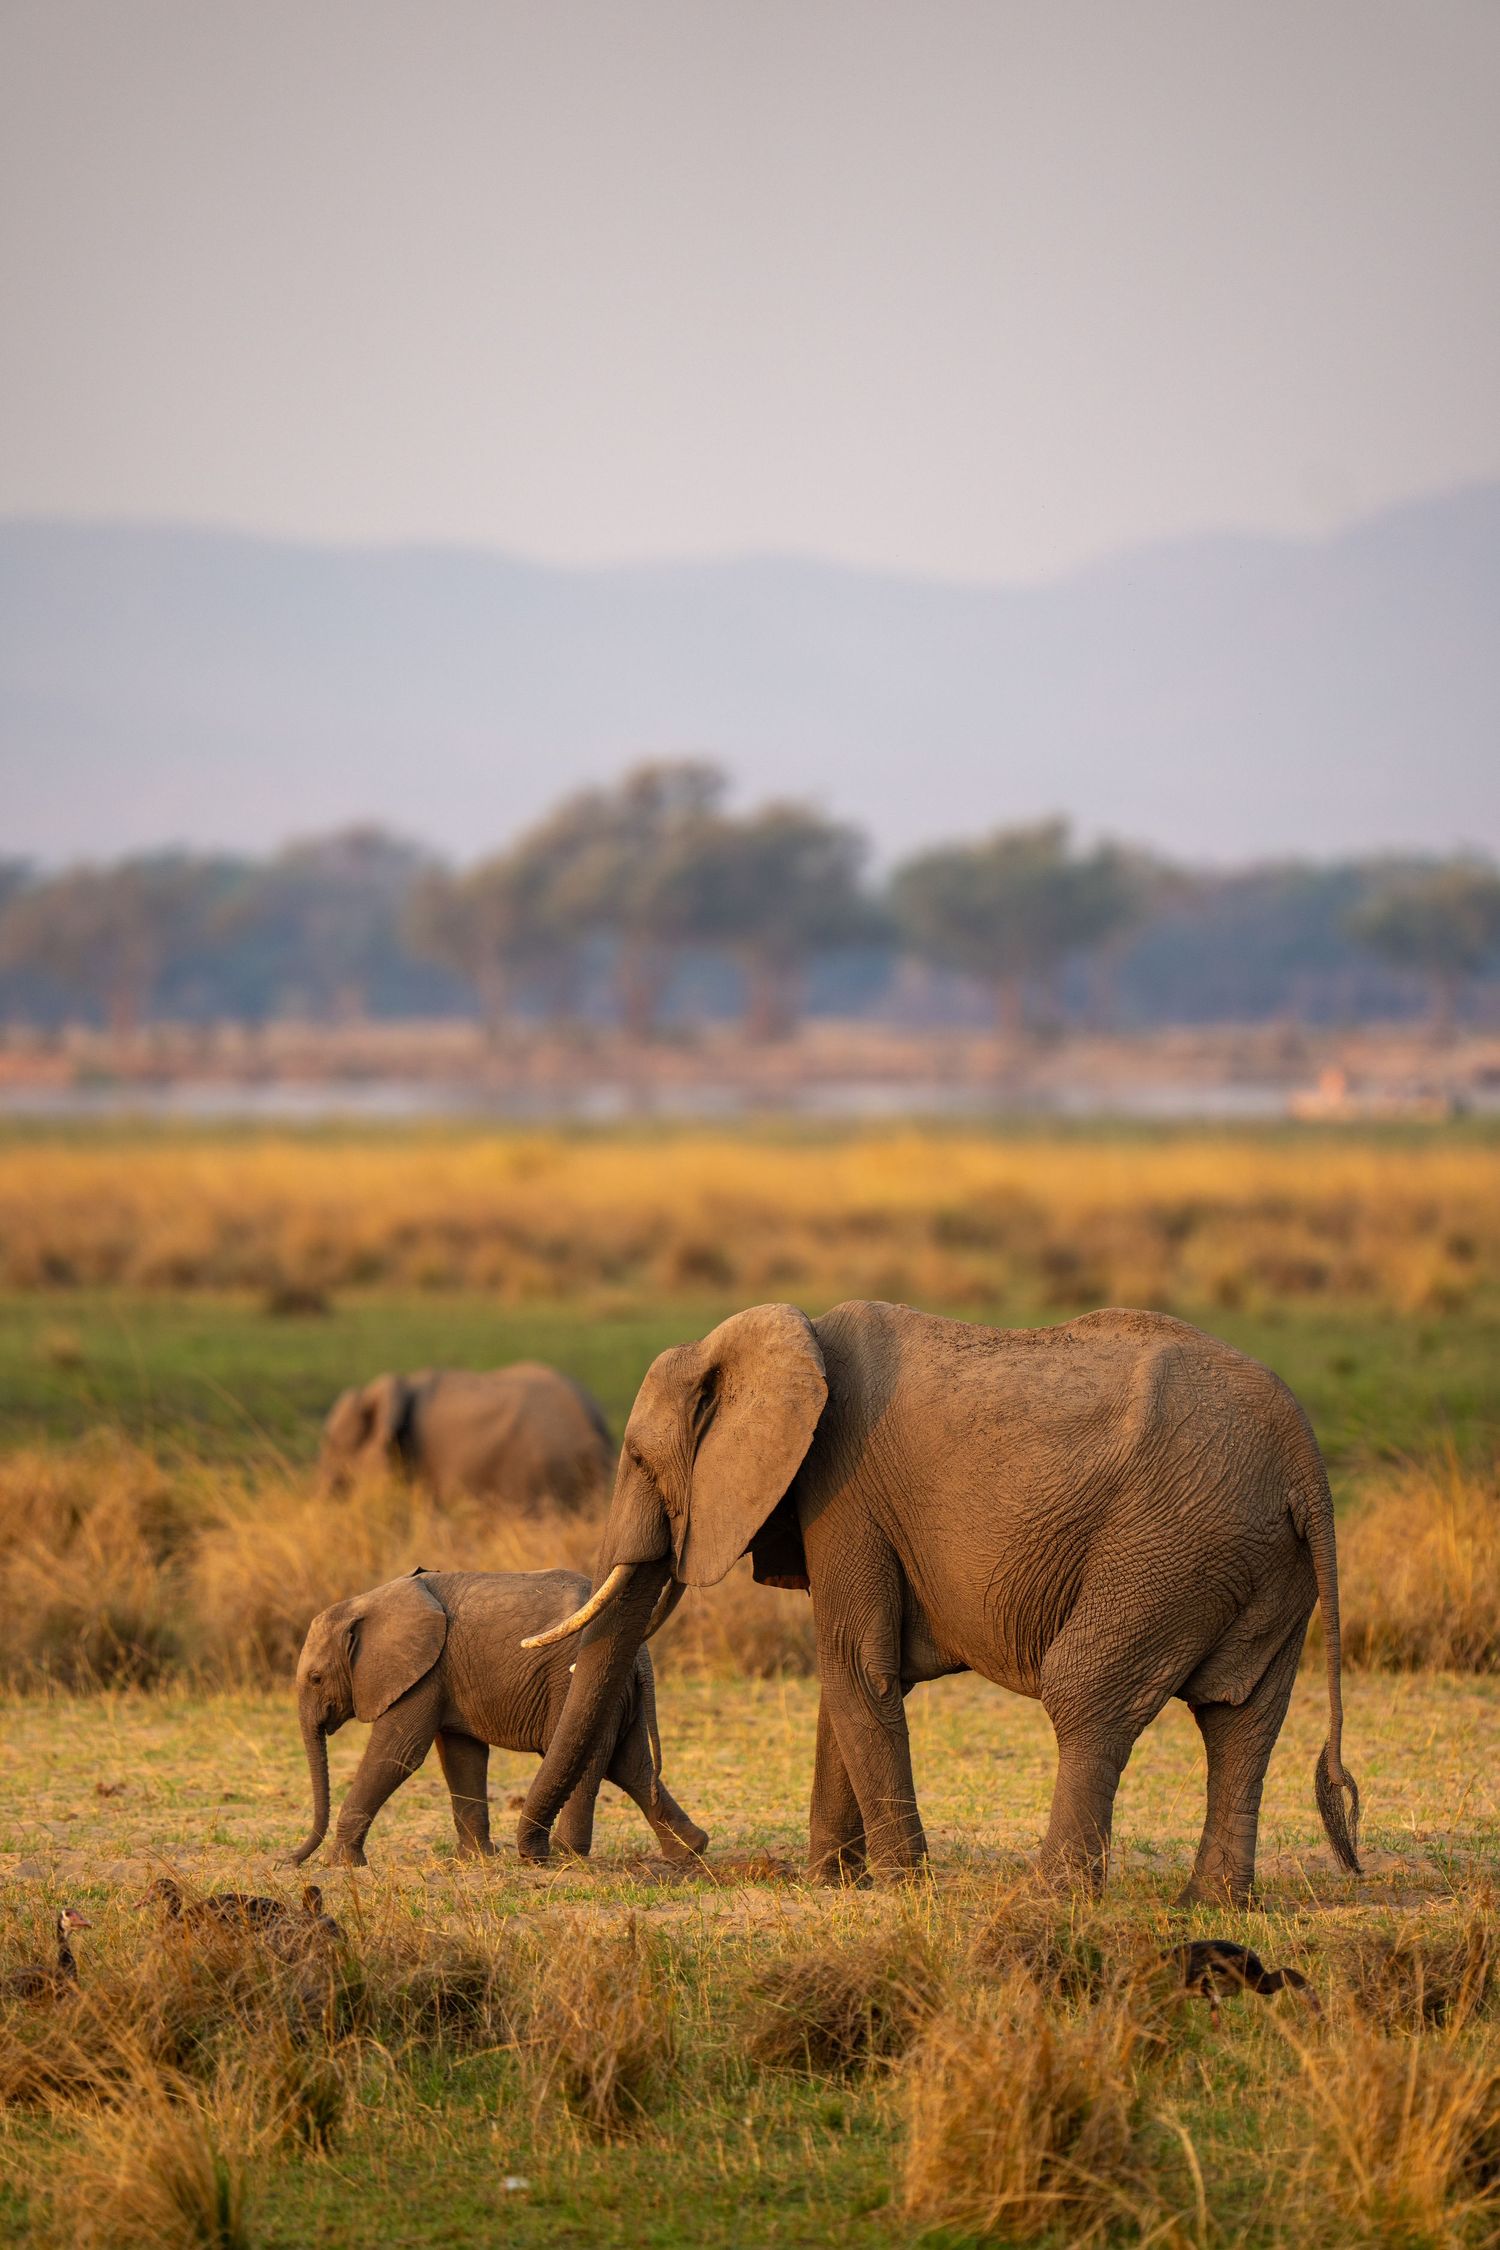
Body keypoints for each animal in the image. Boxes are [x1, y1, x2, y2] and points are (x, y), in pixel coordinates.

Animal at [288, 1567, 707, 1868]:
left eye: (316, 1679)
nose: (290, 1860)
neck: (366, 1603)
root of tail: (642, 1655)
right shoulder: (445, 1674)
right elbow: (462, 1757)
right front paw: (477, 1859)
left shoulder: (423, 1673)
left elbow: (398, 1754)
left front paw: (340, 1864)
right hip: (621, 1691)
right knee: (630, 1765)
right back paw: (690, 1851)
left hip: (579, 1682)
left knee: (595, 1759)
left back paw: (567, 1856)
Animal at [514, 1300, 1361, 1904]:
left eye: (637, 1460)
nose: (543, 1859)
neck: (784, 1338)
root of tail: (1306, 1457)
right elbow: (849, 1680)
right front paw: (833, 1882)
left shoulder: (846, 1490)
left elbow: (856, 1665)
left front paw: (899, 1886)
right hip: (1253, 1559)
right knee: (1241, 1719)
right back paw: (1210, 1905)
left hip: (1168, 1545)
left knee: (1087, 1691)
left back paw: (1050, 1896)